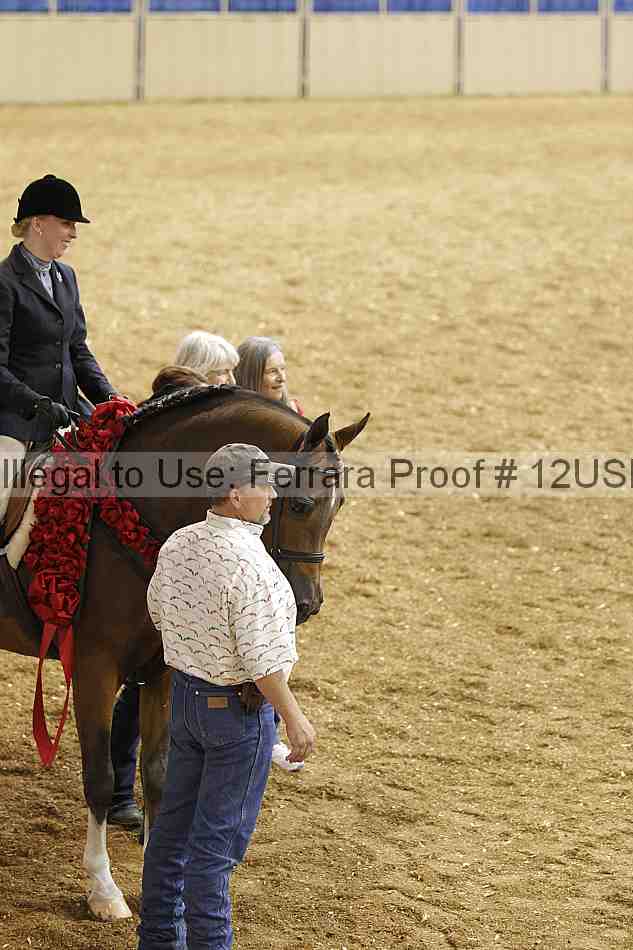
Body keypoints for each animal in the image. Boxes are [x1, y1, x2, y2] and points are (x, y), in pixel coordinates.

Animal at [0, 385, 369, 921]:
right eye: (301, 504)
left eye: (339, 506)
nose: (308, 604)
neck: (131, 513)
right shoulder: (95, 667)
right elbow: (99, 776)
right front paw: (103, 890)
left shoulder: (163, 670)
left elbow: (158, 773)